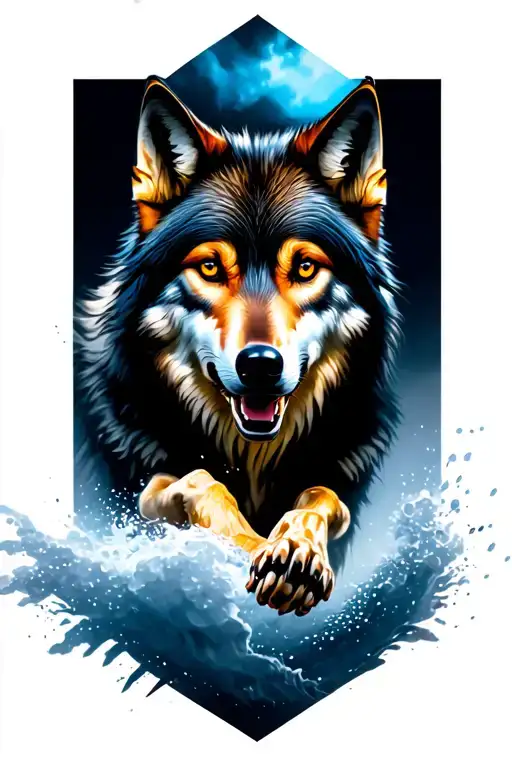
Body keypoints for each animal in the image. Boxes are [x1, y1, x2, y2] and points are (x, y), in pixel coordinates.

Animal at [77, 74, 400, 617]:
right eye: (209, 267)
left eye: (305, 267)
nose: (260, 366)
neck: (250, 459)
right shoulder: (146, 484)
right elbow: (200, 481)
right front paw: (259, 547)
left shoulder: (338, 476)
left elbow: (320, 496)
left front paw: (295, 550)